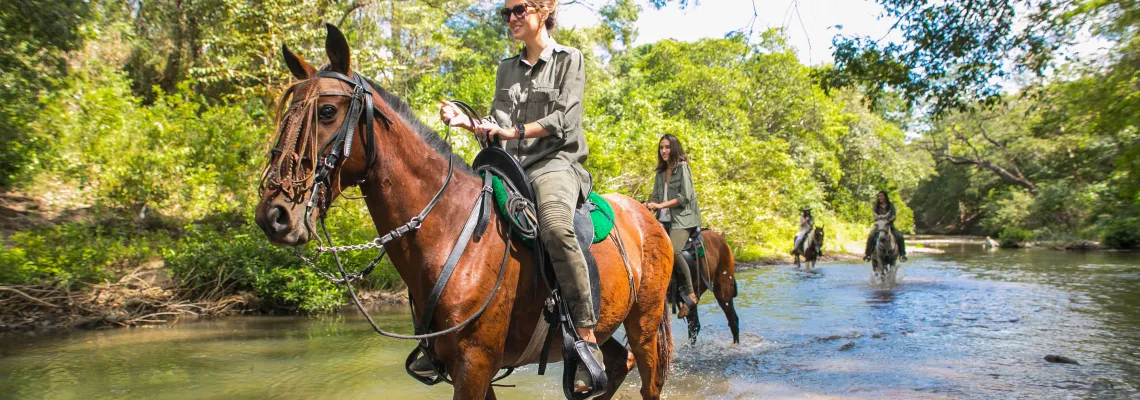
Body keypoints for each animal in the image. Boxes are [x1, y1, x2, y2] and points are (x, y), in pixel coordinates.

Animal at [251, 25, 674, 400]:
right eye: (287, 114)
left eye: (326, 111)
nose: (274, 214)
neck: (451, 231)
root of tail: (647, 216)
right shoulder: (466, 369)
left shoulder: (475, 363)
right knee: (615, 365)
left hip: (644, 320)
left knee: (648, 380)